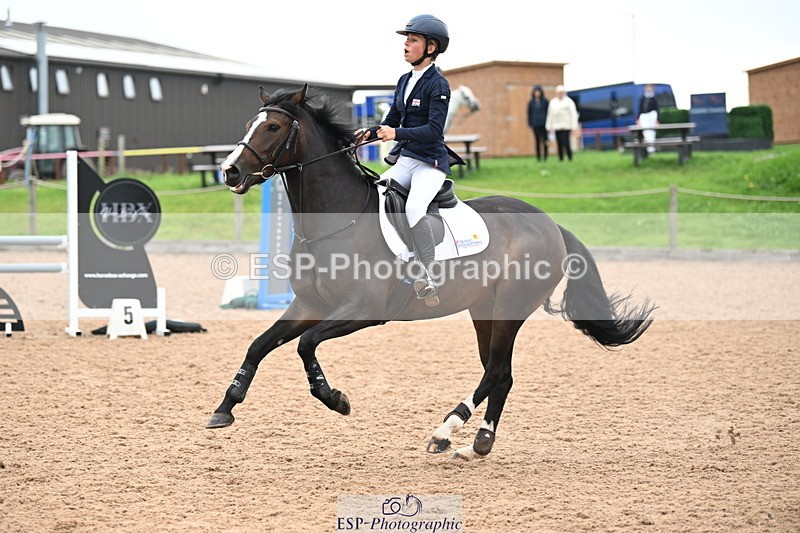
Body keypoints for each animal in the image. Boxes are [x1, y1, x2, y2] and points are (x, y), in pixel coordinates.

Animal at [208, 84, 655, 461]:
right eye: (250, 125)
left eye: (273, 127)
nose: (229, 172)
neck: (335, 222)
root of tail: (550, 224)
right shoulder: (308, 306)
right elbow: (259, 345)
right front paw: (224, 408)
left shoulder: (362, 311)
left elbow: (306, 346)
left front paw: (335, 398)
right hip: (484, 310)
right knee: (501, 374)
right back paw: (479, 443)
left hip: (510, 308)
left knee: (495, 372)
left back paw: (445, 431)